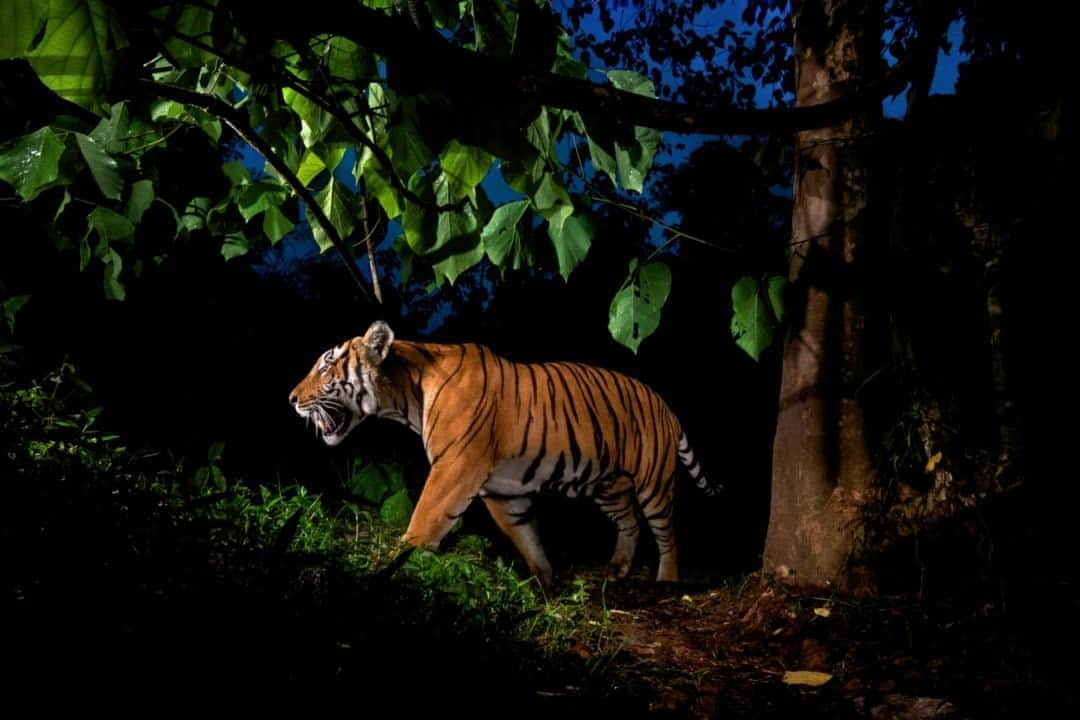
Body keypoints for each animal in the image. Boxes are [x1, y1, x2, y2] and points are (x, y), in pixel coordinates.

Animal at [291, 321, 721, 587]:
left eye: (326, 367)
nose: (292, 399)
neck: (405, 395)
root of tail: (665, 404)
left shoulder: (455, 468)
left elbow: (425, 518)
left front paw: (394, 565)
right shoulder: (502, 489)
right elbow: (526, 536)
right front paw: (546, 584)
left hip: (653, 482)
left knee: (667, 531)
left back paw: (667, 580)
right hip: (606, 484)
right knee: (629, 521)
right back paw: (617, 569)